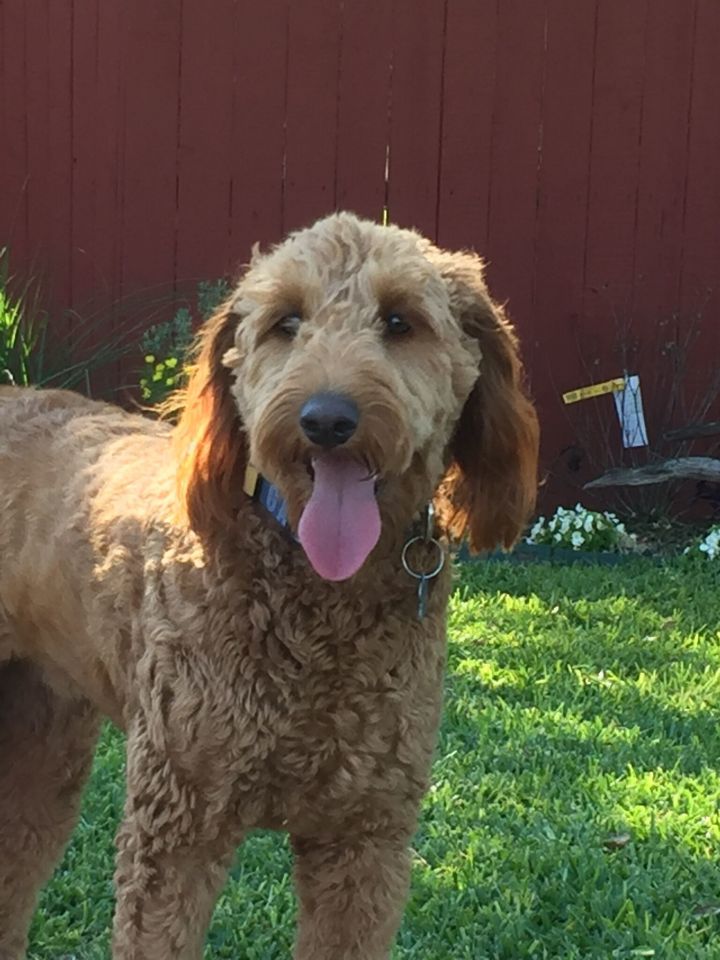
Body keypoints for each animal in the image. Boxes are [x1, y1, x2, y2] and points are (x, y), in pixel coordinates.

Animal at [0, 214, 536, 956]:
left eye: (400, 320)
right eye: (287, 321)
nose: (326, 420)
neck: (319, 604)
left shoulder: (364, 841)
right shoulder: (177, 831)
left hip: (41, 751)